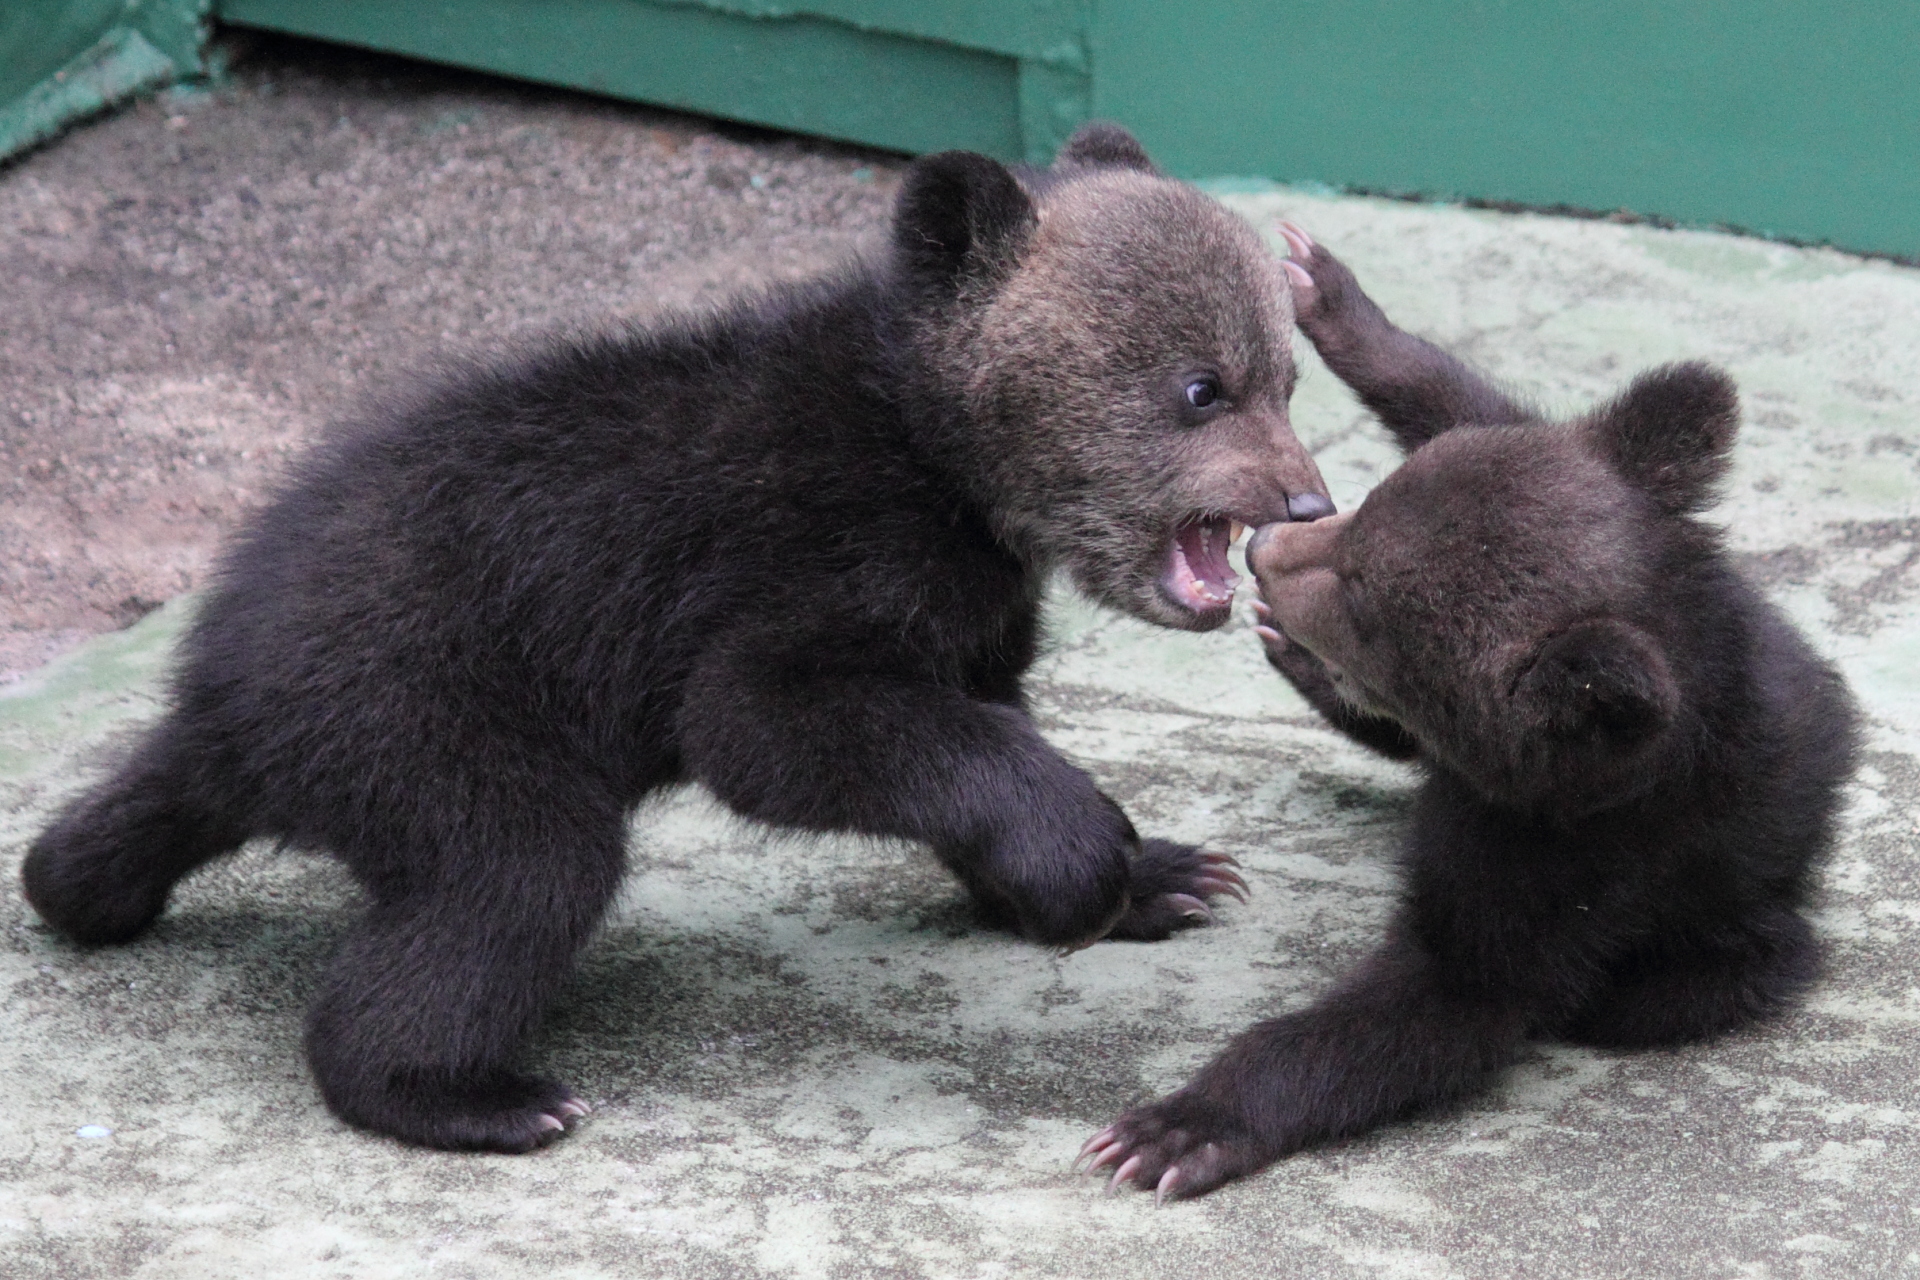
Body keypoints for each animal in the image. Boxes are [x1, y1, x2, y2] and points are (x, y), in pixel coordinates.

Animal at [21, 125, 1333, 1153]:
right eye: (1201, 386)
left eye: (1284, 376)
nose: (1306, 497)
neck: (949, 466)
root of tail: (228, 666)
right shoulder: (810, 557)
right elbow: (766, 723)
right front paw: (1089, 854)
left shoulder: (964, 604)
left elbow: (970, 710)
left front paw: (1166, 873)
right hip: (422, 696)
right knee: (518, 870)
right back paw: (468, 1091)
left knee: (139, 809)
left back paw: (76, 877)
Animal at [1082, 224, 1860, 1199]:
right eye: (1376, 504)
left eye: (1369, 605)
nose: (1267, 547)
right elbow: (1469, 404)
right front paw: (1324, 289)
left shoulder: (1564, 858)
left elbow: (1448, 995)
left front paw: (1178, 1126)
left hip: (1731, 910)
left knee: (1727, 968)